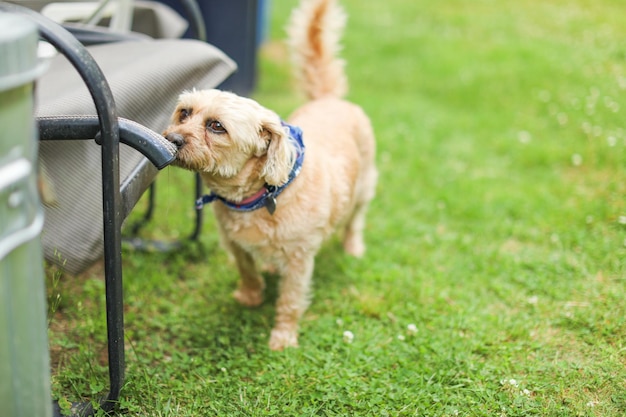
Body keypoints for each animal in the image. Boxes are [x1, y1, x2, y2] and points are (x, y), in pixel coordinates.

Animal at [162, 0, 376, 348]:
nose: (172, 139)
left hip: (366, 185)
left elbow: (290, 299)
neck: (257, 197)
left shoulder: (300, 259)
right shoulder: (235, 244)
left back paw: (353, 247)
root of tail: (328, 99)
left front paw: (283, 337)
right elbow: (247, 270)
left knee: (356, 219)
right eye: (184, 113)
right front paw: (250, 296)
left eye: (216, 126)